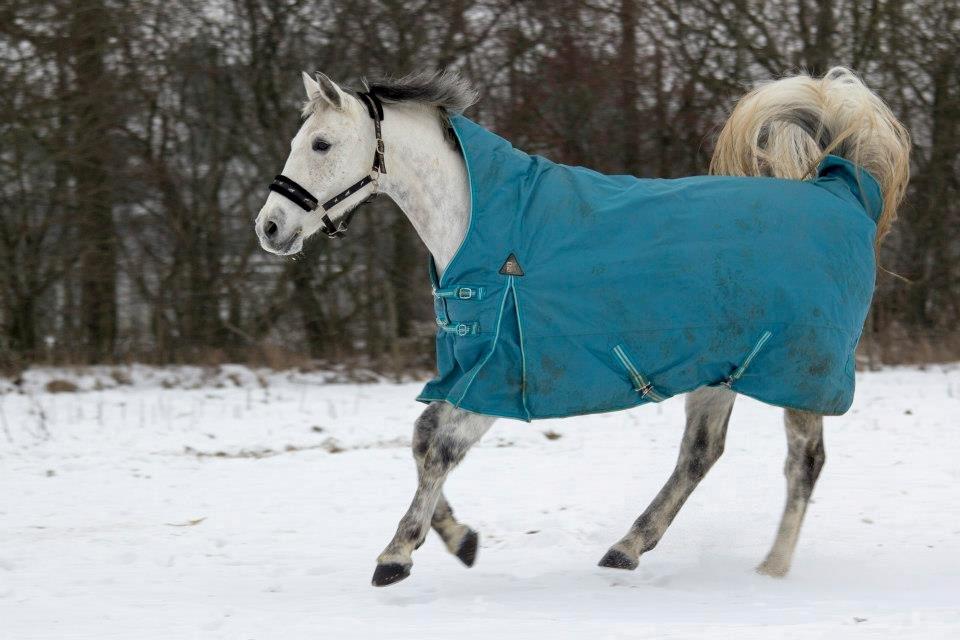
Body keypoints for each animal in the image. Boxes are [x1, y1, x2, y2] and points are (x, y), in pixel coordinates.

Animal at [253, 69, 908, 584]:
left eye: (320, 143)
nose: (270, 227)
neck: (484, 232)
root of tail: (841, 192)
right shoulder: (470, 371)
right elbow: (423, 439)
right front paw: (458, 540)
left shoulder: (499, 374)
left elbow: (437, 445)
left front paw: (396, 555)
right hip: (721, 371)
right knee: (700, 455)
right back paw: (627, 548)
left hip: (800, 373)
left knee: (804, 464)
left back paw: (771, 569)